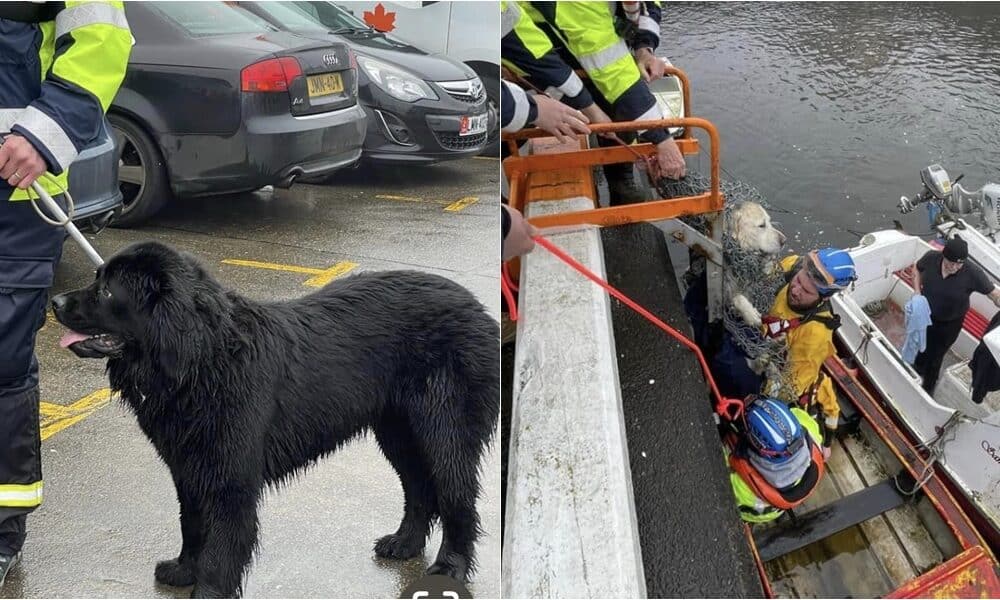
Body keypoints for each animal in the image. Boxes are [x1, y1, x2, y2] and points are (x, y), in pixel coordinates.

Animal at [50, 241, 500, 596]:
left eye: (108, 290)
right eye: (98, 278)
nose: (54, 303)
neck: (201, 361)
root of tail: (480, 309)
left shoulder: (230, 479)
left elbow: (222, 548)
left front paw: (208, 590)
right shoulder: (189, 467)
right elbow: (191, 524)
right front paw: (182, 570)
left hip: (445, 429)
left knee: (457, 498)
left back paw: (450, 568)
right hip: (398, 430)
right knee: (419, 488)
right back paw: (403, 545)